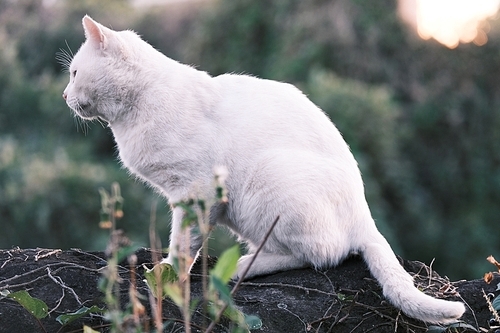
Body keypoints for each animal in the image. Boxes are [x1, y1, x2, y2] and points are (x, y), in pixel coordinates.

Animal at [61, 16, 464, 324]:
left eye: (75, 73)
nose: (64, 96)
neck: (134, 111)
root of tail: (365, 217)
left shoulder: (197, 191)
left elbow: (183, 242)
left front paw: (169, 275)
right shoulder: (193, 196)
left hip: (271, 180)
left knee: (322, 255)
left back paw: (245, 267)